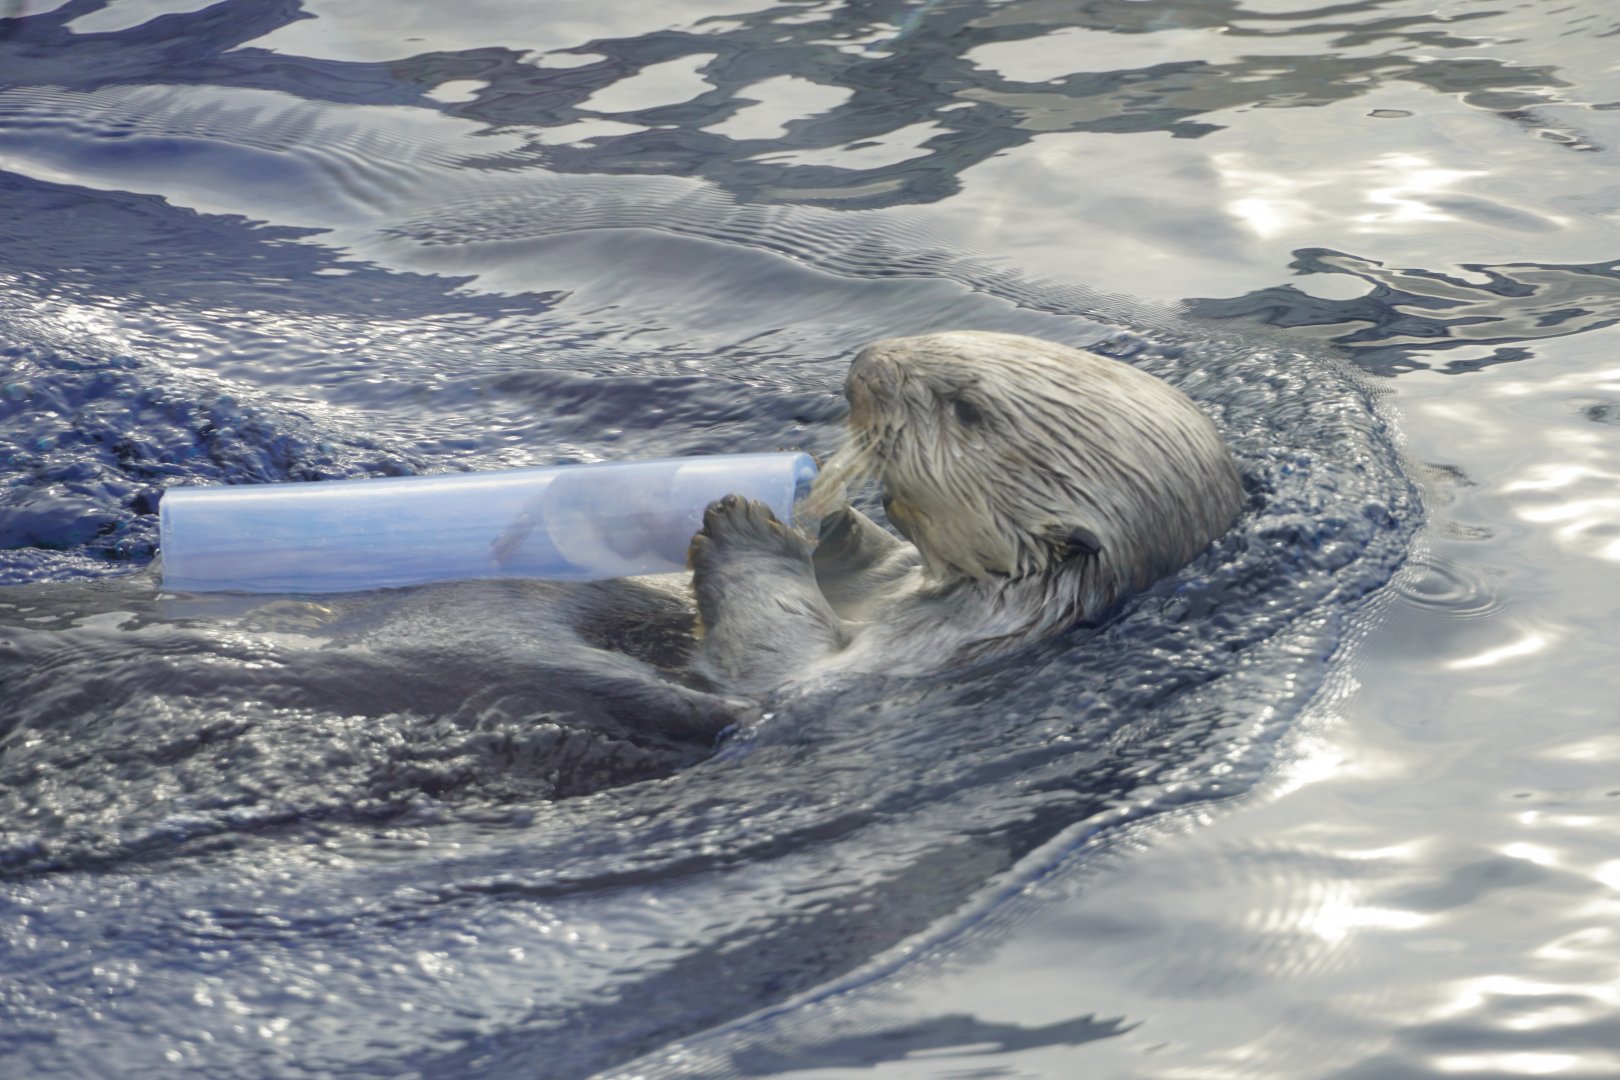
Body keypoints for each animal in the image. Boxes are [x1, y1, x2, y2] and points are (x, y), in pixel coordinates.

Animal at [688, 330, 1245, 695]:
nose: (864, 364)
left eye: (965, 409)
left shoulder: (925, 649)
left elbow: (779, 664)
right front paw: (823, 503)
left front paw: (746, 532)